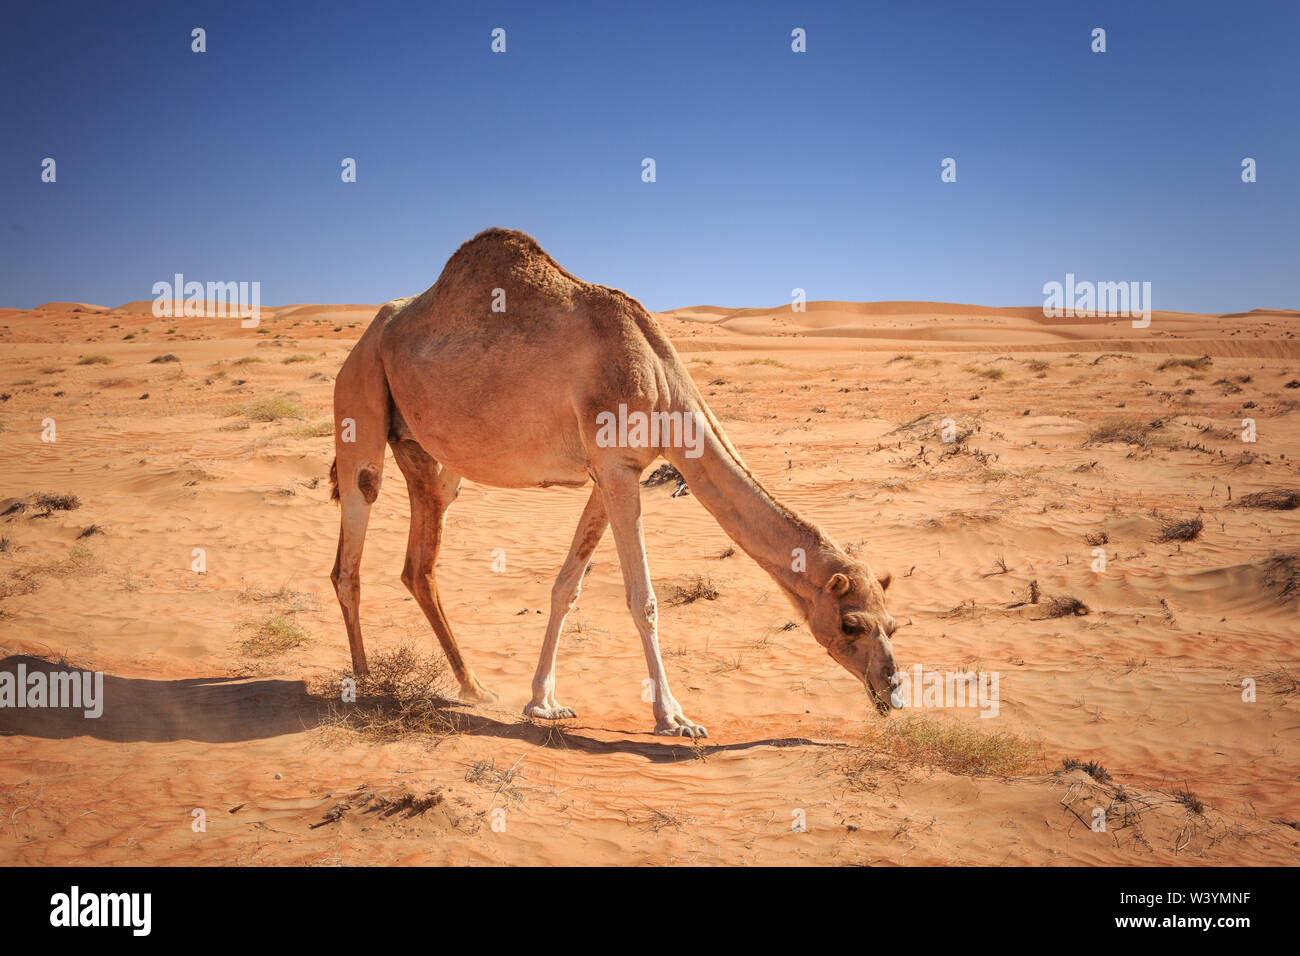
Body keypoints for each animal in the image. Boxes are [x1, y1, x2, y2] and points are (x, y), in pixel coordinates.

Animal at [330, 227, 899, 738]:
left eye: (892, 624)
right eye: (852, 624)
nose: (892, 689)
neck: (663, 384)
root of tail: (365, 338)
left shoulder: (614, 471)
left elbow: (567, 586)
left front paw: (543, 702)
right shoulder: (616, 467)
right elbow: (643, 599)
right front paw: (673, 718)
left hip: (424, 451)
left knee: (420, 562)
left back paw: (475, 687)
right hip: (359, 390)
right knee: (353, 539)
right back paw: (365, 684)